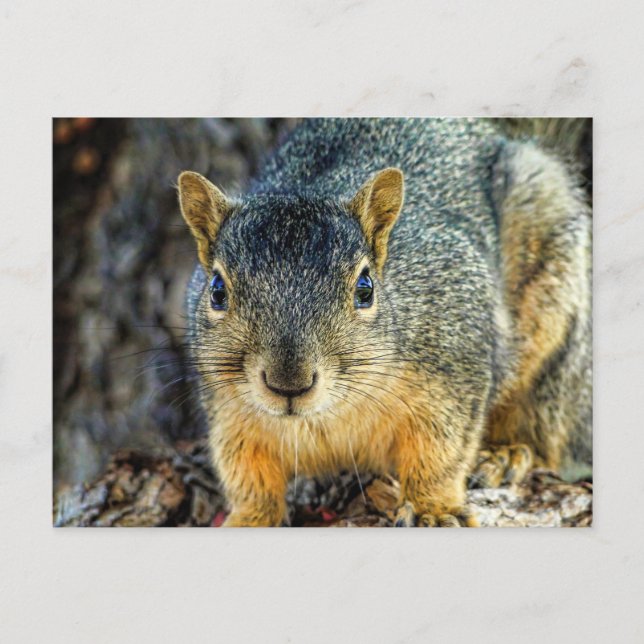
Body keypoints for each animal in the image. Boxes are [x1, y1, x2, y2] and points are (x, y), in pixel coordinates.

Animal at [177, 118, 591, 527]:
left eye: (365, 288)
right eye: (217, 291)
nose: (289, 384)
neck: (326, 414)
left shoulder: (454, 362)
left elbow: (441, 453)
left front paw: (432, 509)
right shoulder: (230, 414)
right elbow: (248, 476)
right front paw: (249, 519)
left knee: (542, 429)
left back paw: (506, 454)